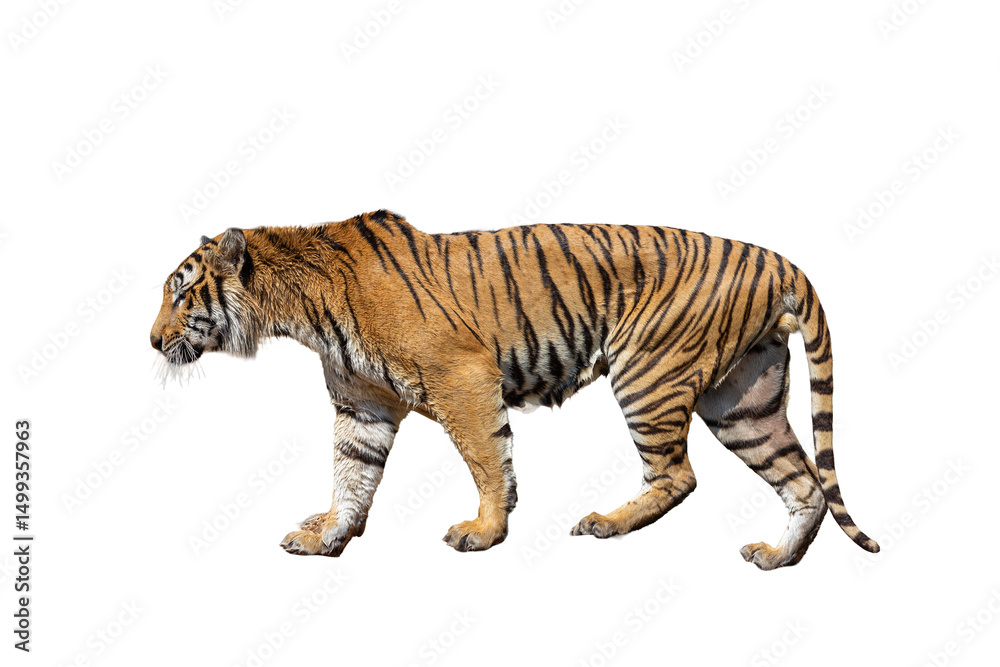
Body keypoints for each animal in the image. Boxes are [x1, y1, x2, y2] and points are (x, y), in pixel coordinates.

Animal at [149, 209, 879, 570]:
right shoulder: (363, 404)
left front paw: (484, 531)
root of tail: (776, 259)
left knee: (679, 475)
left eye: (182, 293)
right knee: (804, 482)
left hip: (648, 371)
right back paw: (777, 558)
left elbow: (485, 458)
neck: (299, 309)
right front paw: (327, 538)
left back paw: (604, 523)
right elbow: (350, 475)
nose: (153, 343)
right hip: (743, 401)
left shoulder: (462, 376)